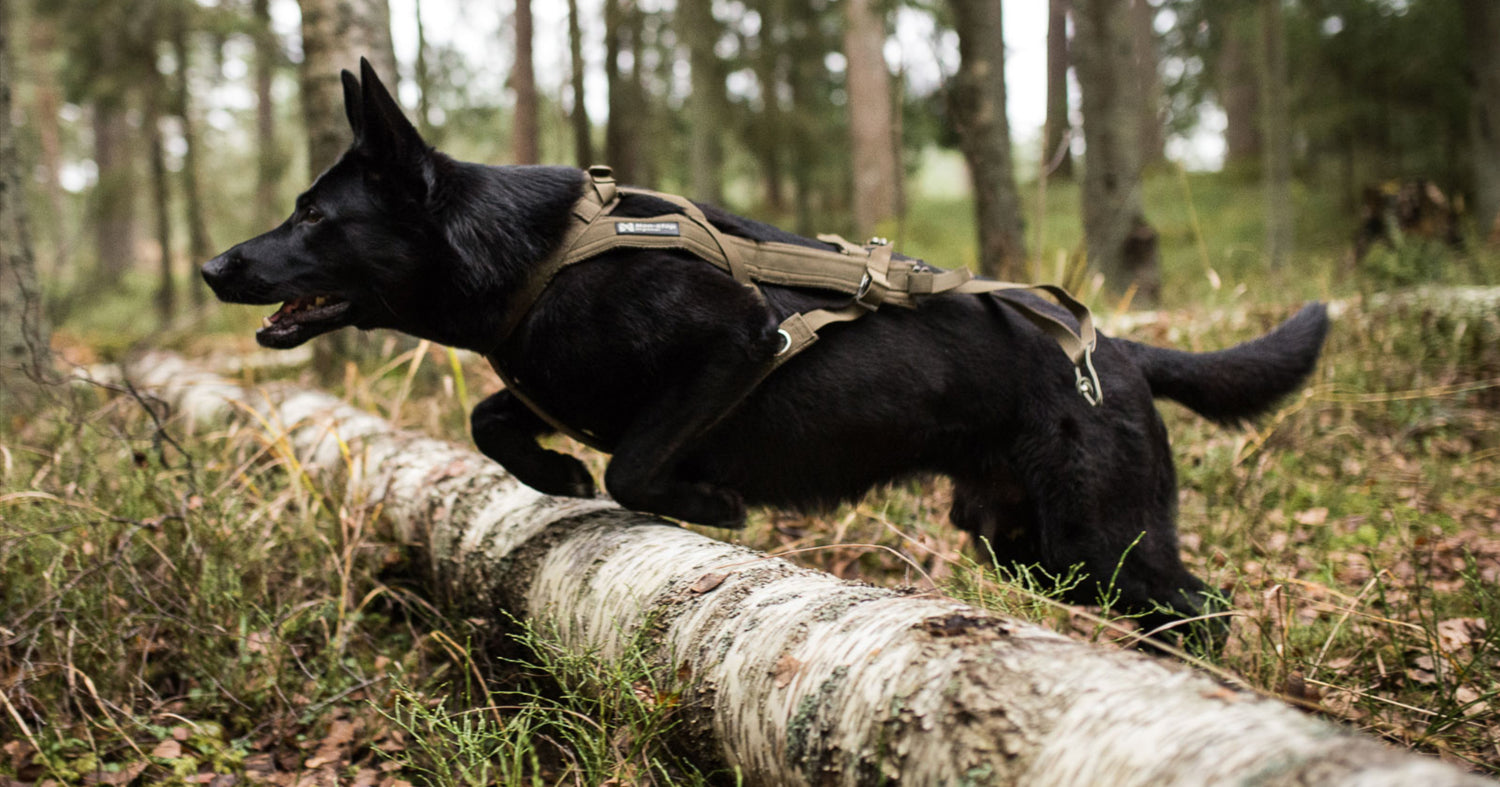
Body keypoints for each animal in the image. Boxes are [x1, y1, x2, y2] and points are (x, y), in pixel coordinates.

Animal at [205, 64, 1332, 647]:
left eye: (314, 216)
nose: (215, 264)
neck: (535, 257)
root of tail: (1121, 348)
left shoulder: (737, 342)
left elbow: (635, 463)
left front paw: (701, 502)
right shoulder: (553, 379)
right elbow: (494, 416)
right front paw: (551, 469)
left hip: (1104, 540)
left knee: (1205, 608)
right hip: (1032, 546)